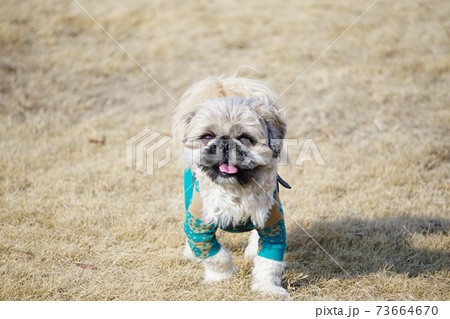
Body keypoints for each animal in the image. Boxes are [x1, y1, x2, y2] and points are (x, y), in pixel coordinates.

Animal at [171, 75, 290, 298]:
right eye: (207, 137)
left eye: (245, 138)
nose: (226, 143)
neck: (235, 189)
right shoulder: (199, 227)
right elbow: (216, 257)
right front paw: (222, 278)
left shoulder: (273, 227)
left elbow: (268, 265)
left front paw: (267, 288)